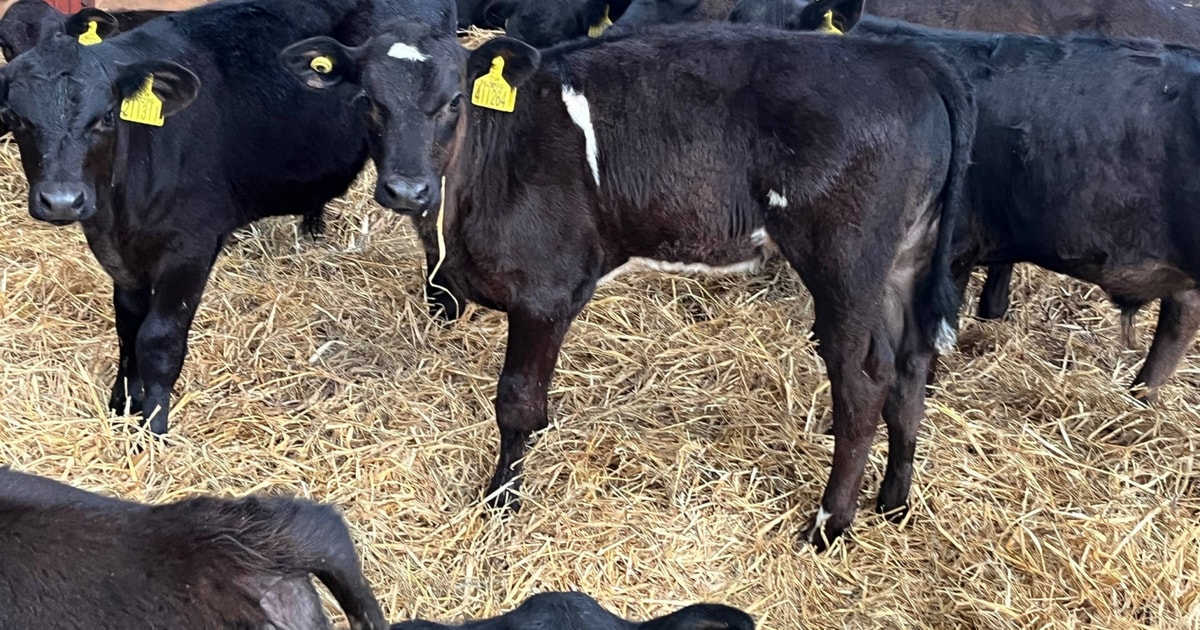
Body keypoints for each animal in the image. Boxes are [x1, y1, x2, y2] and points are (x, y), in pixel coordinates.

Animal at [0, 0, 459, 436]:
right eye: (15, 118)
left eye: (107, 117)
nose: (62, 201)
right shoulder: (117, 253)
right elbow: (127, 326)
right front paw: (121, 405)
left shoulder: (190, 248)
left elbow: (159, 339)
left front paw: (153, 430)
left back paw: (443, 308)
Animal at [280, 18, 975, 548]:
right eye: (368, 101)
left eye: (454, 102)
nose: (406, 189)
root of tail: (908, 58)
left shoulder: (545, 289)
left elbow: (517, 402)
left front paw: (501, 500)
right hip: (907, 258)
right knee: (912, 367)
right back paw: (894, 501)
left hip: (845, 263)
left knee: (864, 381)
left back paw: (828, 526)